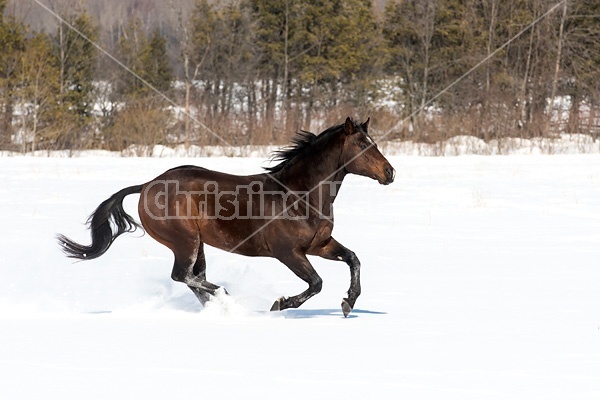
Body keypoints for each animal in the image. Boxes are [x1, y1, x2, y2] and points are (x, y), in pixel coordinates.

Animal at [56, 117, 394, 318]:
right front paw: (280, 304)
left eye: (373, 142)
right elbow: (316, 283)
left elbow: (353, 259)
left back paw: (218, 306)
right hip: (185, 240)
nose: (389, 172)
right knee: (184, 276)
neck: (300, 196)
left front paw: (349, 302)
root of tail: (147, 185)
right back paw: (226, 297)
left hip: (198, 244)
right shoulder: (288, 252)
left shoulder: (319, 245)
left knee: (193, 278)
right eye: (362, 144)